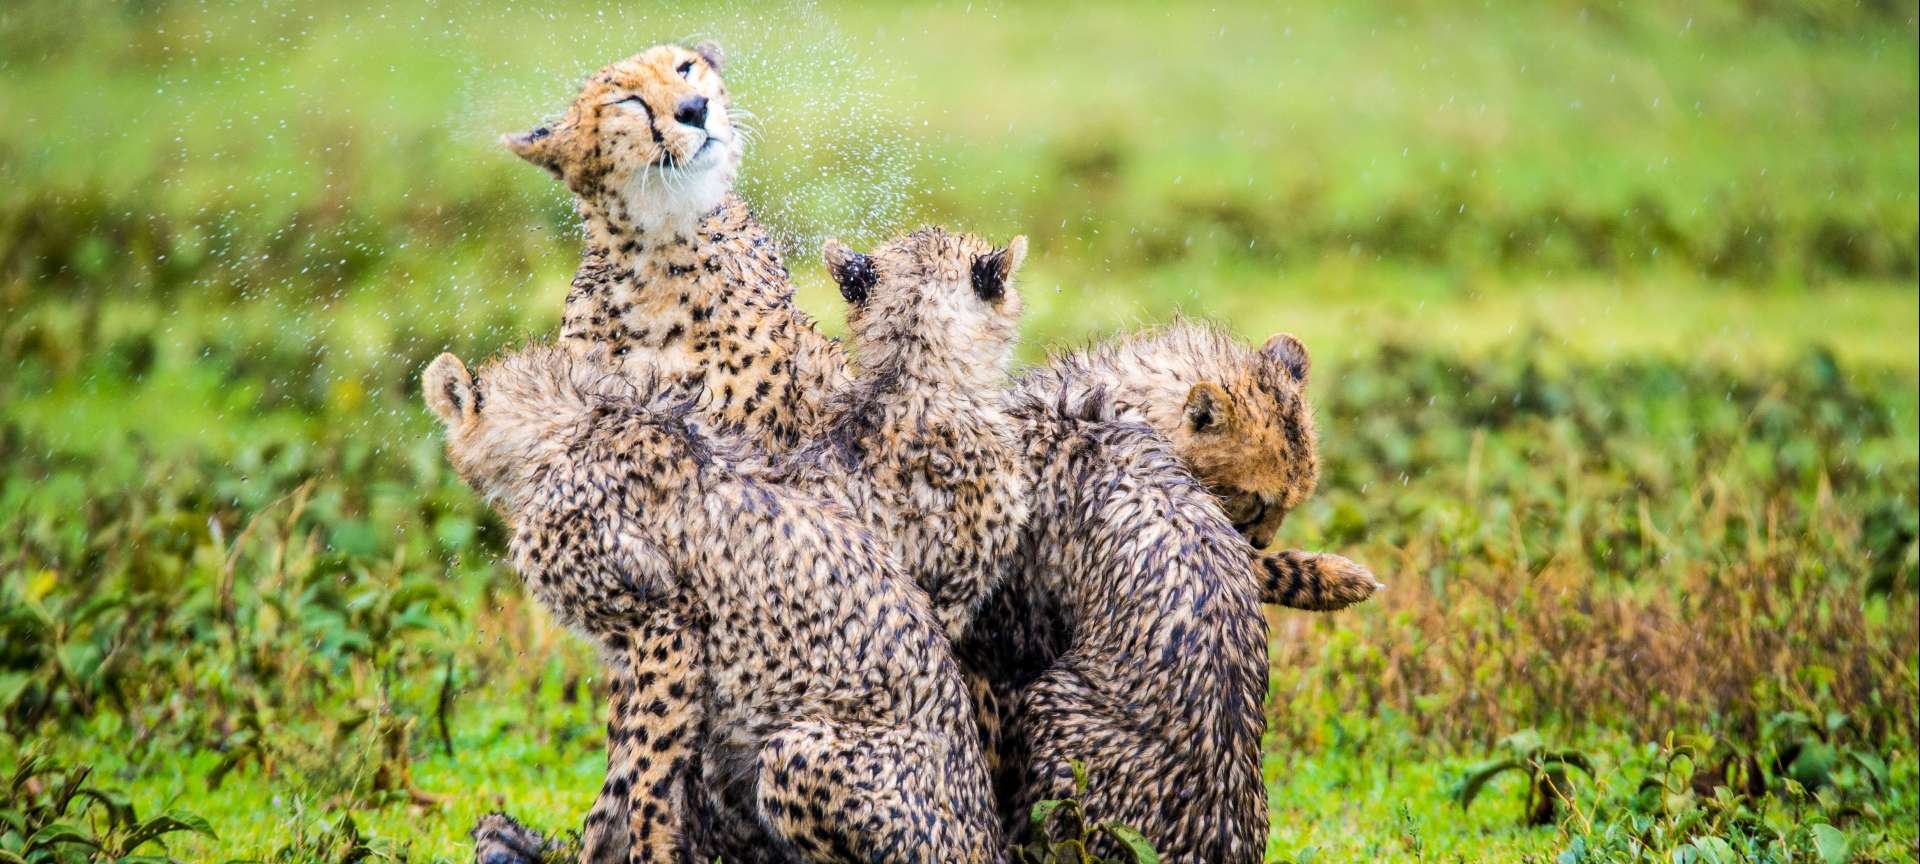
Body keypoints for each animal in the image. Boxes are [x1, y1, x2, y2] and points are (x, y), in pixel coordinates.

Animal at [430, 345, 1013, 864]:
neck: (559, 432)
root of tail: (988, 838)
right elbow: (618, 781)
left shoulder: (667, 620)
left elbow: (647, 771)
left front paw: (651, 851)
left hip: (796, 753)